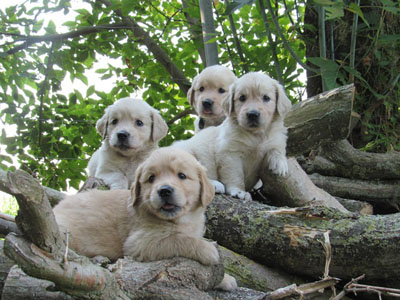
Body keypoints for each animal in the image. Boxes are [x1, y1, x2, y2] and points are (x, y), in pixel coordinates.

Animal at [52, 148, 236, 290]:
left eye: (182, 176)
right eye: (151, 178)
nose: (164, 190)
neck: (180, 220)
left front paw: (225, 279)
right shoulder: (140, 242)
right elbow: (179, 239)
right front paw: (208, 250)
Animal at [173, 71, 292, 200]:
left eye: (266, 98)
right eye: (242, 98)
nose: (252, 114)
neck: (255, 134)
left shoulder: (276, 137)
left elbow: (277, 148)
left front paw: (280, 164)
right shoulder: (230, 154)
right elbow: (235, 175)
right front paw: (239, 191)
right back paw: (214, 184)